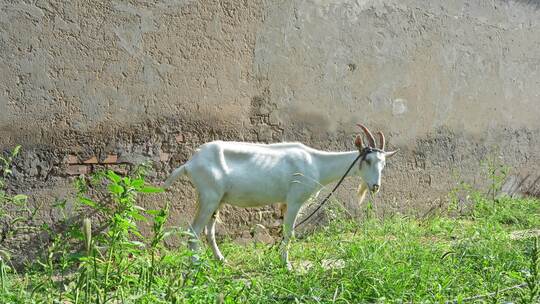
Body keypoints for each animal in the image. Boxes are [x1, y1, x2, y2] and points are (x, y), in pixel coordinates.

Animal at [165, 124, 396, 268]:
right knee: (193, 231)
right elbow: (289, 232)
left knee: (209, 231)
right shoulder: (294, 201)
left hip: (217, 200)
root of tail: (190, 163)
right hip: (209, 197)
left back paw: (221, 260)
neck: (316, 164)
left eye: (383, 163)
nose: (375, 186)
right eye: (367, 160)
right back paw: (196, 265)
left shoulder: (285, 203)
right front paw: (287, 265)